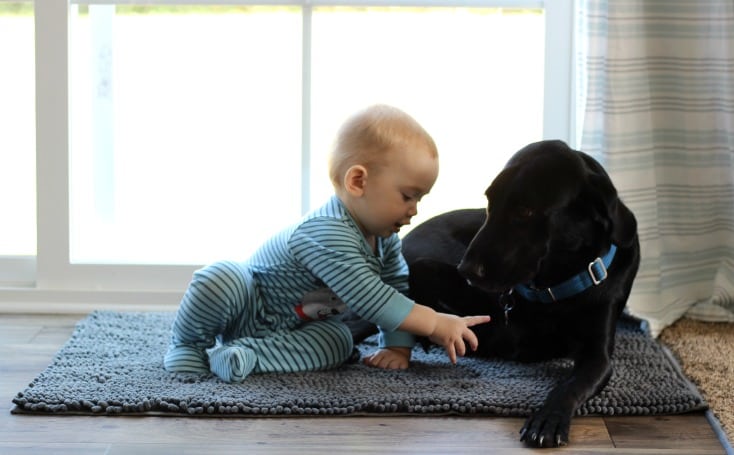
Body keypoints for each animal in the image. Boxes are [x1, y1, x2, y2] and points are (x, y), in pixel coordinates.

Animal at [348, 139, 640, 448]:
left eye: (525, 211)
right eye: (490, 202)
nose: (466, 269)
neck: (551, 288)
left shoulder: (598, 355)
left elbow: (571, 384)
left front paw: (548, 418)